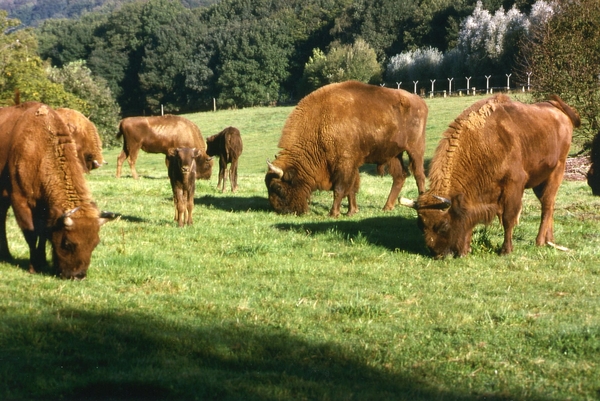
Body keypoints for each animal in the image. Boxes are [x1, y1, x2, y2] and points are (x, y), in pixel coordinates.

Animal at [0, 103, 115, 278]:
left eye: (95, 244)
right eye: (67, 243)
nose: (78, 275)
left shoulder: (45, 209)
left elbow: (43, 234)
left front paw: (42, 262)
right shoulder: (20, 201)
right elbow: (31, 234)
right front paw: (34, 266)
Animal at [264, 80, 426, 217]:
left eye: (278, 188)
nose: (282, 211)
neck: (320, 123)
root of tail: (419, 101)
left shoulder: (344, 163)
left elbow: (340, 188)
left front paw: (333, 213)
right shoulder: (351, 164)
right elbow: (351, 188)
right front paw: (351, 211)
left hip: (415, 150)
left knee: (419, 176)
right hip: (394, 155)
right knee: (400, 176)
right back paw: (387, 207)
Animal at [400, 94, 580, 256]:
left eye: (443, 225)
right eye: (420, 225)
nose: (438, 253)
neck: (483, 142)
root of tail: (558, 108)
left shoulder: (514, 185)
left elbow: (508, 218)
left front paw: (506, 250)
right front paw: (465, 250)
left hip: (557, 171)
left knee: (547, 205)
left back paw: (540, 241)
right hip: (539, 180)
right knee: (548, 204)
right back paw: (550, 240)